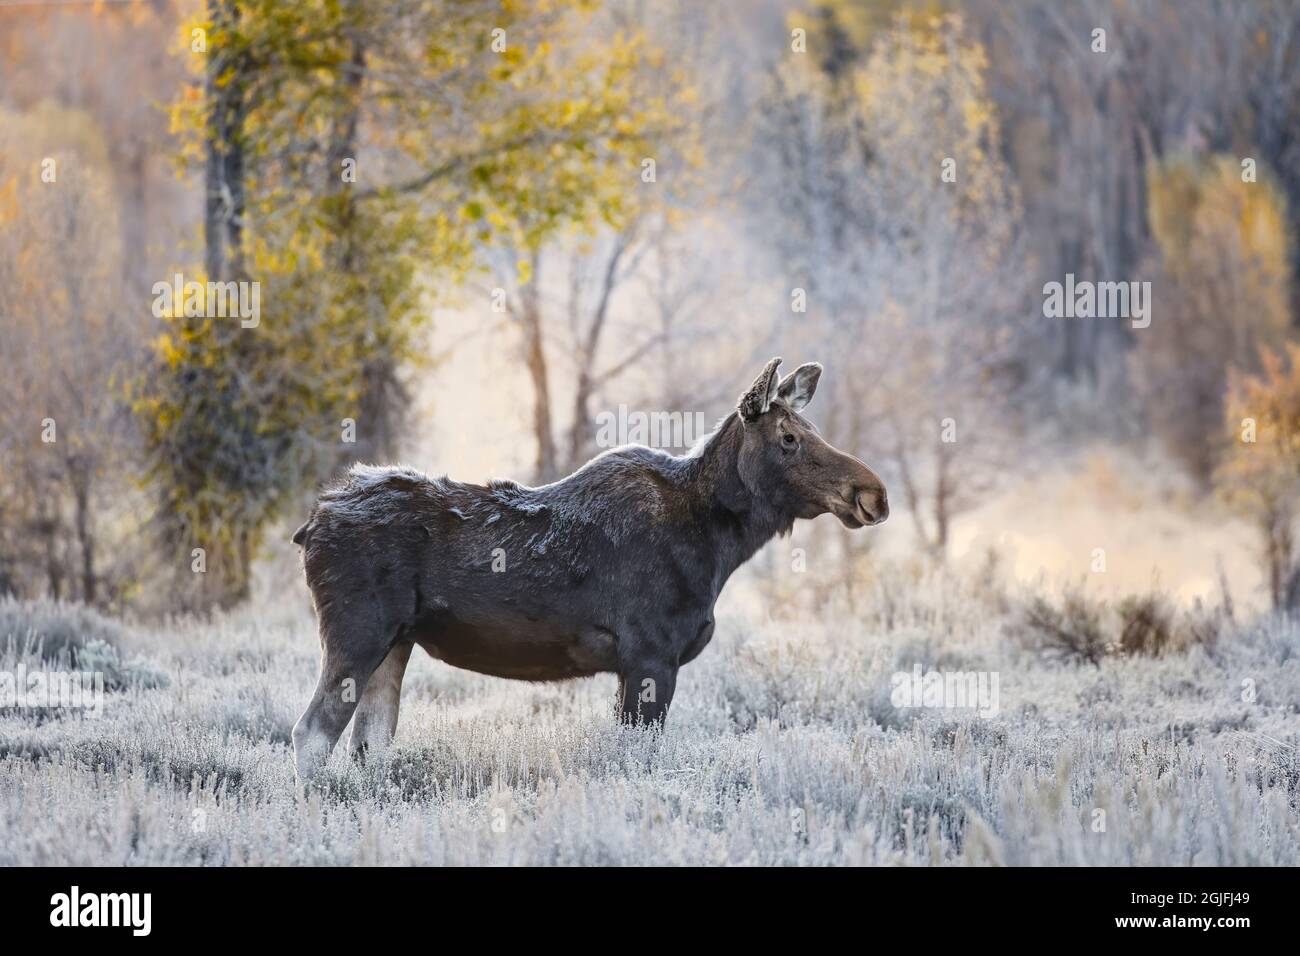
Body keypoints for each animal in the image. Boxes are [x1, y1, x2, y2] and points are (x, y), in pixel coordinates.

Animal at [289, 358, 889, 785]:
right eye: (789, 437)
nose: (873, 493)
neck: (720, 544)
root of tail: (310, 525)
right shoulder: (650, 656)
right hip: (357, 632)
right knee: (310, 733)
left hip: (397, 641)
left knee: (369, 742)